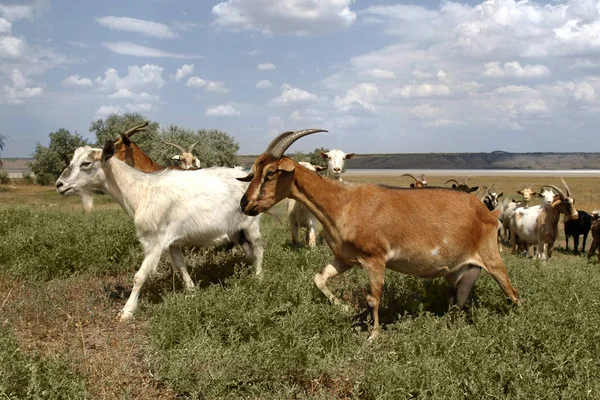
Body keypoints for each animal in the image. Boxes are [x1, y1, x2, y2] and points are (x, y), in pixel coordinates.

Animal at [55, 142, 262, 320]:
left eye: (86, 163)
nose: (59, 185)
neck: (141, 192)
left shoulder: (155, 241)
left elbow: (139, 276)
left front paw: (127, 312)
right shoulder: (172, 242)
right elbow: (180, 265)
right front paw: (192, 292)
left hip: (251, 224)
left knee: (259, 250)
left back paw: (259, 278)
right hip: (236, 231)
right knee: (249, 253)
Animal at [237, 129, 516, 340]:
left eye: (270, 173)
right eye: (254, 171)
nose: (245, 204)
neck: (344, 203)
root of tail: (488, 212)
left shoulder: (375, 259)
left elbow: (373, 297)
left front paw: (373, 335)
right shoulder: (345, 259)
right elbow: (319, 278)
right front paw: (344, 307)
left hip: (492, 258)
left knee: (512, 294)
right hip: (466, 272)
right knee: (459, 301)